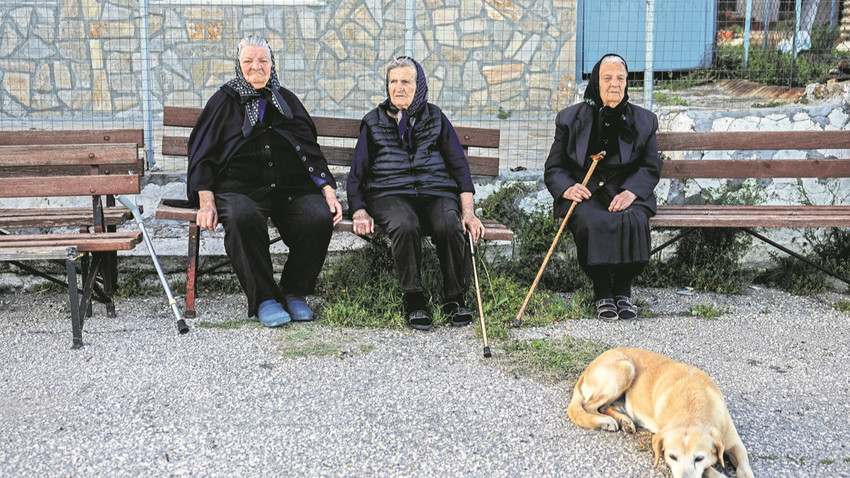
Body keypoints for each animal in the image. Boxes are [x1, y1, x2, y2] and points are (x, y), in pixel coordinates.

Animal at [568, 348, 752, 478]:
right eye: (672, 457)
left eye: (699, 458)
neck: (691, 406)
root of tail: (589, 367)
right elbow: (710, 470)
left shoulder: (735, 444)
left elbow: (745, 469)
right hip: (625, 369)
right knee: (589, 406)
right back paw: (606, 421)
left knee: (605, 406)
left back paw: (624, 421)